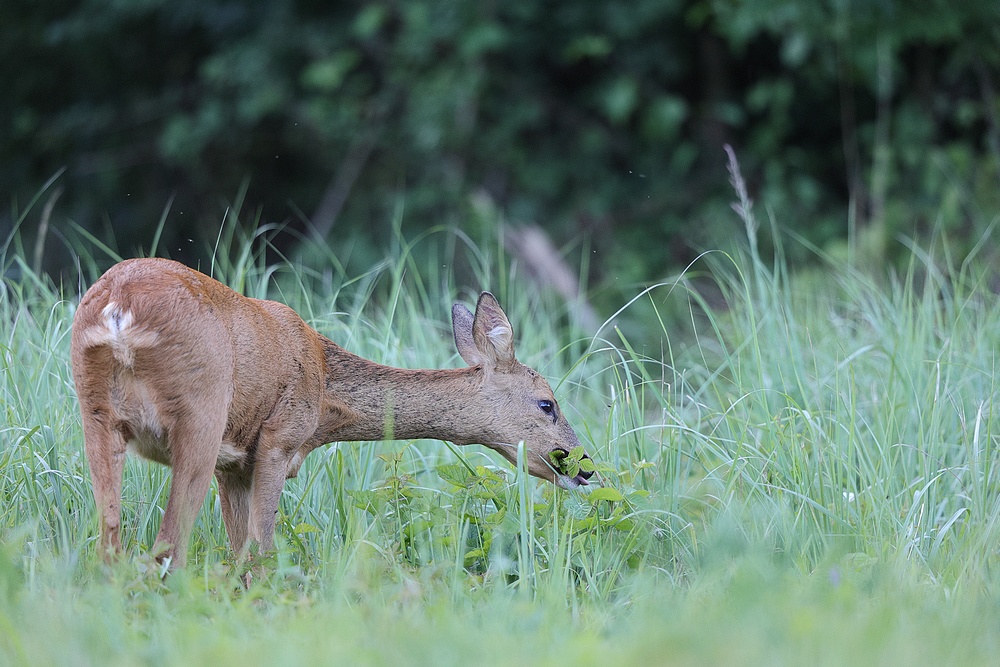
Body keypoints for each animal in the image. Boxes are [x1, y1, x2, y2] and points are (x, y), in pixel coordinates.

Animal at [72, 258, 592, 572]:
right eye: (547, 403)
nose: (584, 467)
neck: (325, 400)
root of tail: (119, 309)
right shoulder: (277, 440)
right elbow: (262, 550)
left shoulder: (233, 464)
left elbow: (241, 553)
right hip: (200, 412)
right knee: (167, 546)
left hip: (96, 413)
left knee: (110, 538)